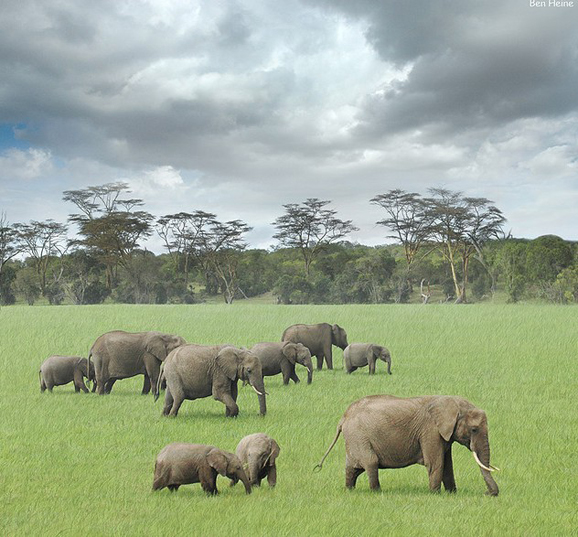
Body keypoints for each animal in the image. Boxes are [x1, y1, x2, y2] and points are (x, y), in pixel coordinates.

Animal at [316, 392, 500, 496]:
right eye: (474, 429)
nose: (488, 493)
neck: (452, 403)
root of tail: (343, 418)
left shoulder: (443, 434)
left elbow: (448, 464)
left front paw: (452, 494)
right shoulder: (430, 430)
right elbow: (436, 463)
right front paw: (435, 495)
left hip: (354, 438)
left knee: (352, 468)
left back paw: (349, 490)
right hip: (359, 436)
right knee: (371, 463)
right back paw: (376, 492)